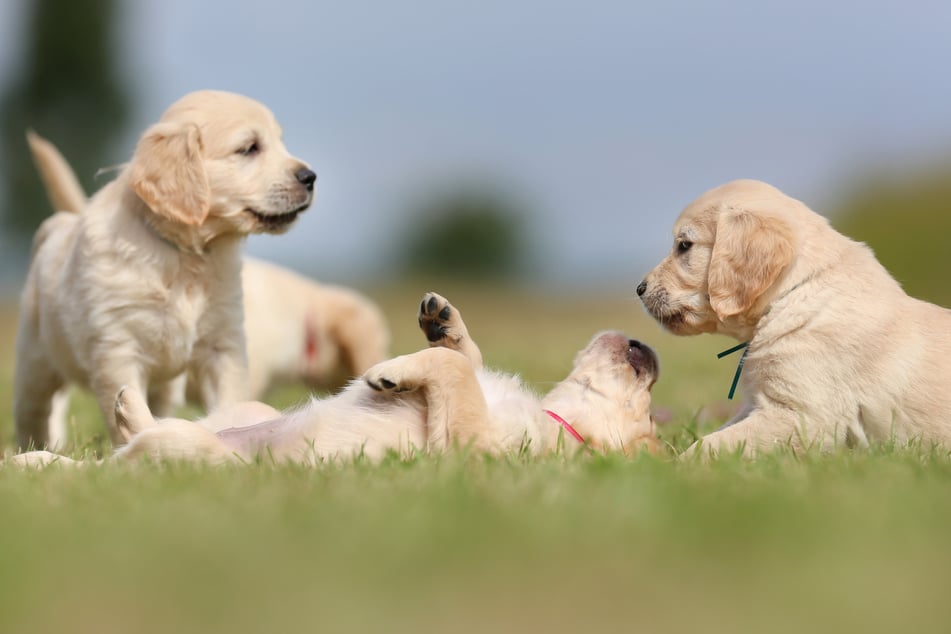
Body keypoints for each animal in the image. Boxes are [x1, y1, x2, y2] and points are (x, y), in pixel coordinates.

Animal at [5, 292, 660, 464]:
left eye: (648, 419)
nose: (650, 351)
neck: (557, 425)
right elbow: (464, 358)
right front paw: (442, 321)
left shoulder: (470, 453)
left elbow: (453, 370)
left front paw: (388, 374)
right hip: (248, 412)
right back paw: (118, 409)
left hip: (195, 455)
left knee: (123, 458)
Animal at [14, 91, 318, 452]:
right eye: (250, 148)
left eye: (279, 142)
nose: (310, 177)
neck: (186, 258)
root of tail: (63, 222)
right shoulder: (118, 350)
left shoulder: (224, 344)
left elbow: (229, 399)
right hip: (35, 363)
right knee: (32, 412)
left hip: (166, 387)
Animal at [636, 178, 951, 454]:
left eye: (684, 246)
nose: (639, 289)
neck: (792, 295)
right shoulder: (758, 405)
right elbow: (719, 433)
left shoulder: (803, 415)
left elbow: (712, 444)